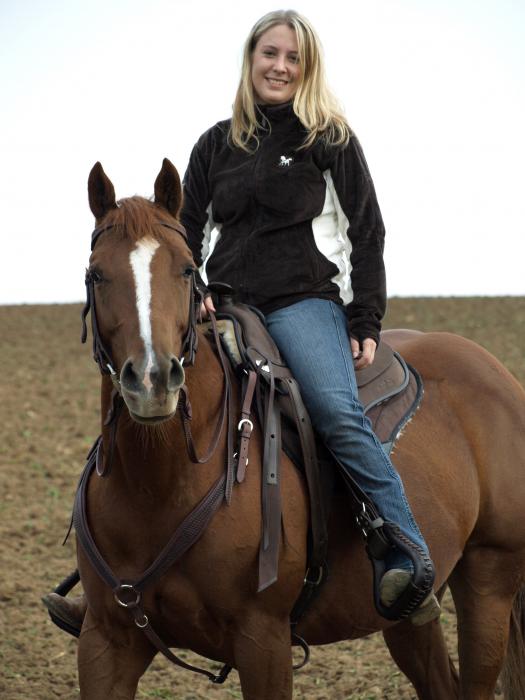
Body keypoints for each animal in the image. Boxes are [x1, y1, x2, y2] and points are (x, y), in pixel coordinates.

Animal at [77, 160, 524, 700]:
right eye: (96, 274)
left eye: (186, 269)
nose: (151, 379)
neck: (158, 487)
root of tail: (497, 374)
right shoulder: (106, 640)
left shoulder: (263, 639)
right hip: (409, 614)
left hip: (490, 577)